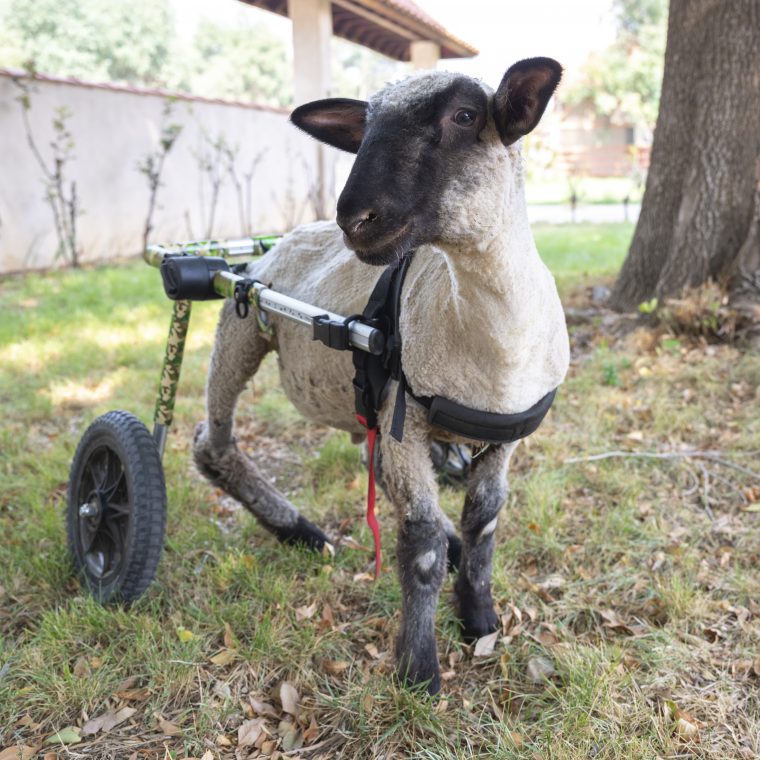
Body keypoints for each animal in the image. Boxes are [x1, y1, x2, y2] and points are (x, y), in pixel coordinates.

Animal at [194, 59, 568, 696]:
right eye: (365, 129)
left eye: (465, 115)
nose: (355, 220)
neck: (496, 347)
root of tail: (284, 237)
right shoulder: (405, 423)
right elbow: (418, 544)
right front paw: (418, 668)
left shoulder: (504, 439)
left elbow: (485, 520)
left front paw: (480, 616)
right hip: (241, 323)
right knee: (212, 444)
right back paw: (301, 531)